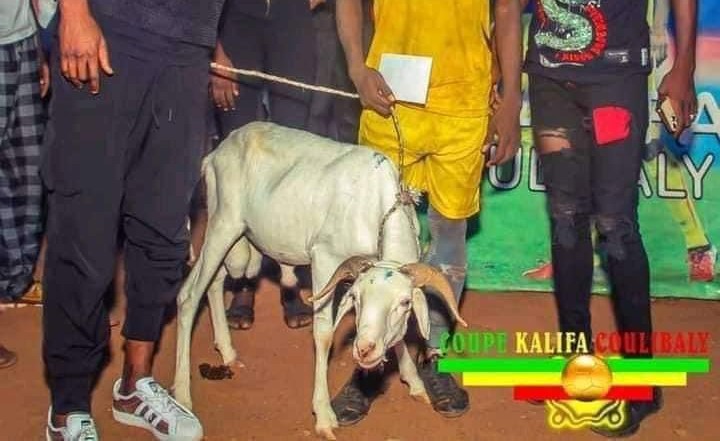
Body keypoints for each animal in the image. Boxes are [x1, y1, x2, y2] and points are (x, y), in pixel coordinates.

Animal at [173, 122, 466, 440]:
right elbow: (324, 333)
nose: (364, 350)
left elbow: (398, 335)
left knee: (213, 283)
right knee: (189, 296)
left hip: (236, 240)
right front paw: (324, 416)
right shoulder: (325, 259)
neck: (374, 204)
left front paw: (414, 382)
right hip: (222, 224)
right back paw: (182, 394)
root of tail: (215, 153)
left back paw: (227, 352)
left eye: (404, 304)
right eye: (356, 298)